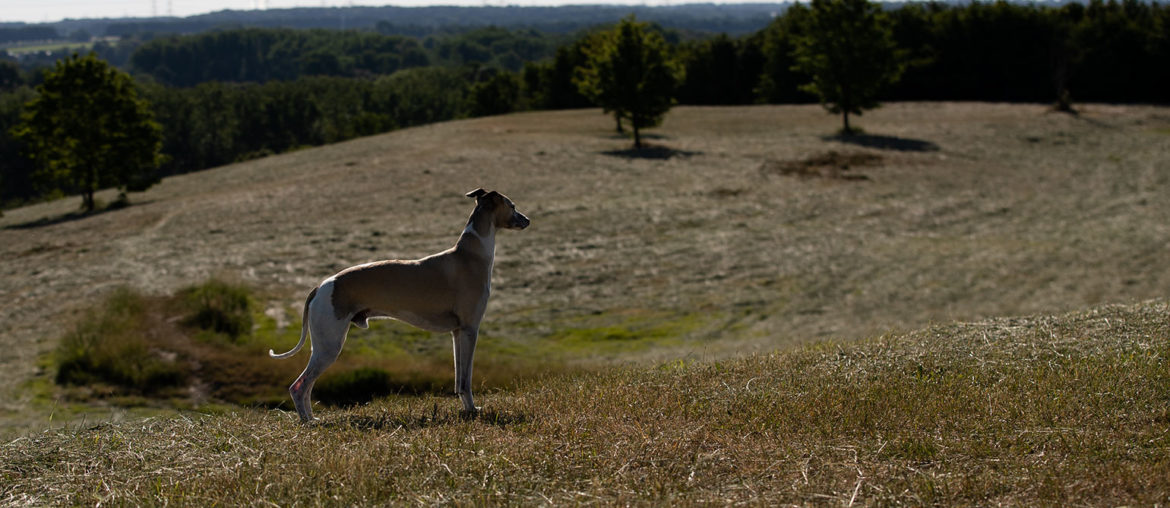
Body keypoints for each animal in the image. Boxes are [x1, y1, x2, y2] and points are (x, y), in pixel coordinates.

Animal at [269, 189, 531, 421]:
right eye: (513, 205)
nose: (528, 220)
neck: (470, 254)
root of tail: (320, 286)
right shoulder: (470, 329)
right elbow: (466, 379)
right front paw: (473, 410)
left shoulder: (457, 333)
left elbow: (459, 379)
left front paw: (467, 410)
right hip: (329, 345)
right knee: (299, 386)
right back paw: (308, 421)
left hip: (323, 345)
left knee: (305, 385)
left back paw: (312, 418)